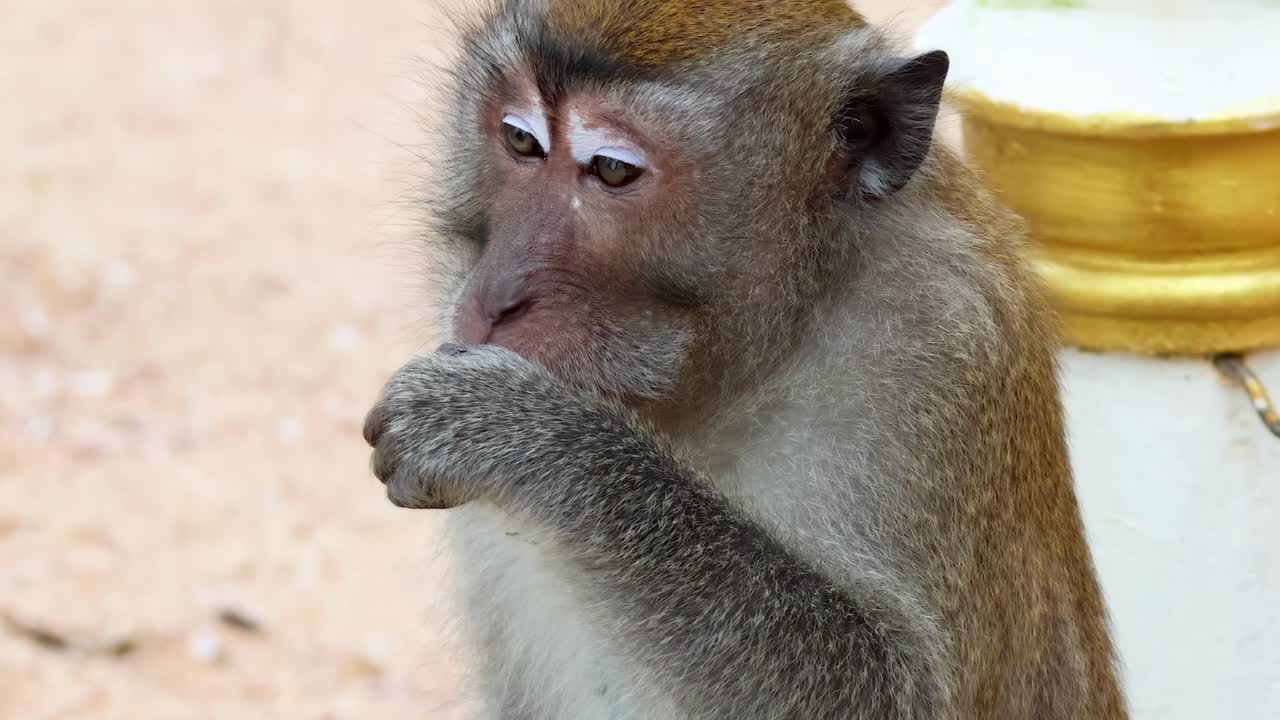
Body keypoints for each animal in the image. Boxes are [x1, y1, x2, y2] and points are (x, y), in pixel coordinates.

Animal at [362, 0, 1128, 718]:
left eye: (611, 169)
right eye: (521, 140)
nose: (495, 297)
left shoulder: (942, 342)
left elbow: (894, 690)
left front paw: (527, 435)